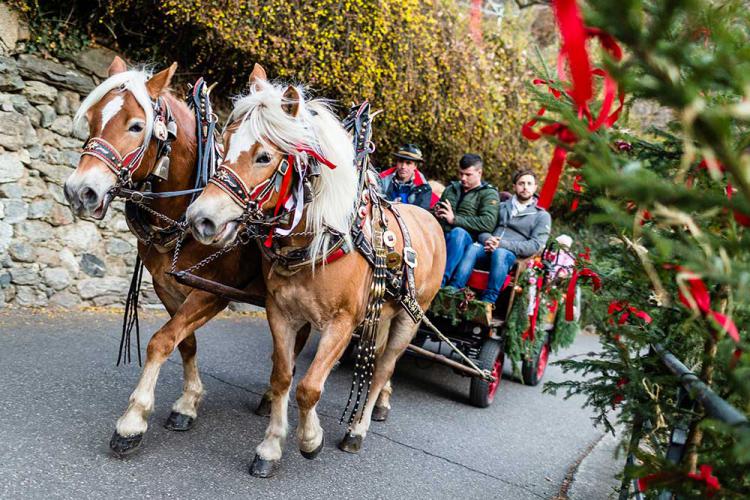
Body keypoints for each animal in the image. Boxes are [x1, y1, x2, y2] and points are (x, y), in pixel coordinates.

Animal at [64, 57, 312, 458]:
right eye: (93, 119)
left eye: (136, 126)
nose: (79, 190)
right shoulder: (167, 286)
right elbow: (185, 342)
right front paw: (188, 403)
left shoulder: (212, 293)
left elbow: (161, 341)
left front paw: (133, 421)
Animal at [187, 64, 446, 478]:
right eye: (224, 143)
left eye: (263, 156)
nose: (202, 218)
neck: (322, 238)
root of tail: (433, 221)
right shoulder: (281, 312)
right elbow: (282, 377)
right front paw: (270, 447)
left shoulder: (343, 322)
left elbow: (309, 387)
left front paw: (310, 439)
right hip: (383, 314)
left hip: (410, 317)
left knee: (383, 369)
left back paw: (358, 429)